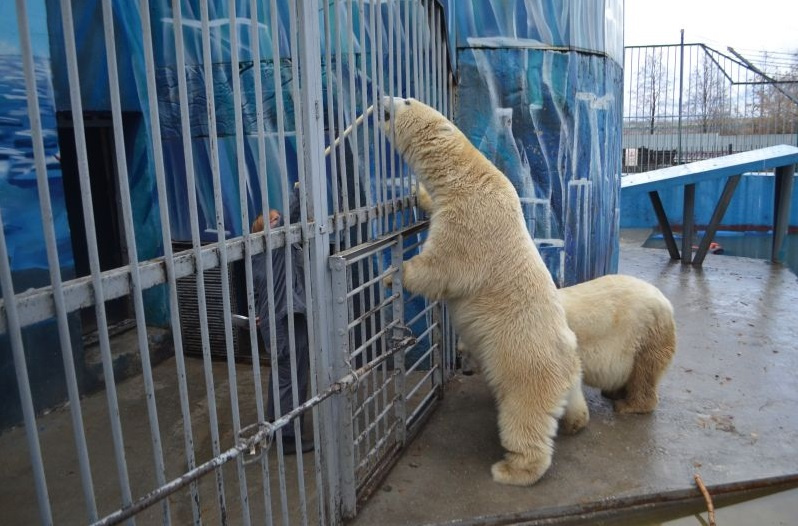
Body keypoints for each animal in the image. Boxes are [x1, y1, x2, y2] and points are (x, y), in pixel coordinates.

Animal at [378, 97, 592, 488]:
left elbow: (442, 267)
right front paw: (418, 193)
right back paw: (574, 420)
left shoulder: (472, 221)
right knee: (572, 401)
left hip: (525, 366)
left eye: (407, 101)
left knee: (524, 418)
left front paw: (393, 274)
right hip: (566, 372)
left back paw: (512, 469)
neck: (472, 176)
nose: (383, 98)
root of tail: (568, 363)